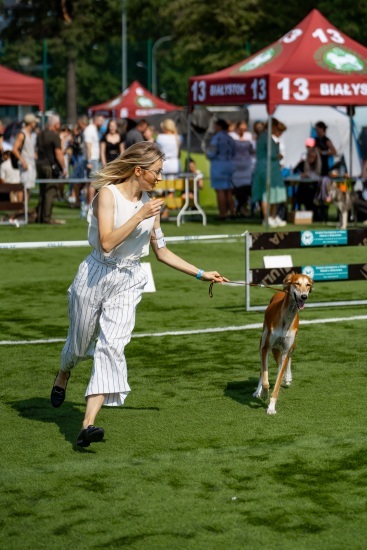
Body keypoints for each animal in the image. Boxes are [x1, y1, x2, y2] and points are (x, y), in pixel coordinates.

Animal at [254, 274, 314, 416]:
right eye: (297, 283)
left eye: (308, 285)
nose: (304, 296)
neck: (286, 317)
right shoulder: (266, 347)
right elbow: (265, 379)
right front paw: (263, 393)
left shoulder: (286, 349)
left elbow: (278, 380)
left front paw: (271, 407)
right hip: (263, 343)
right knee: (262, 370)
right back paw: (258, 391)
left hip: (292, 345)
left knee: (287, 360)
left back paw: (287, 377)